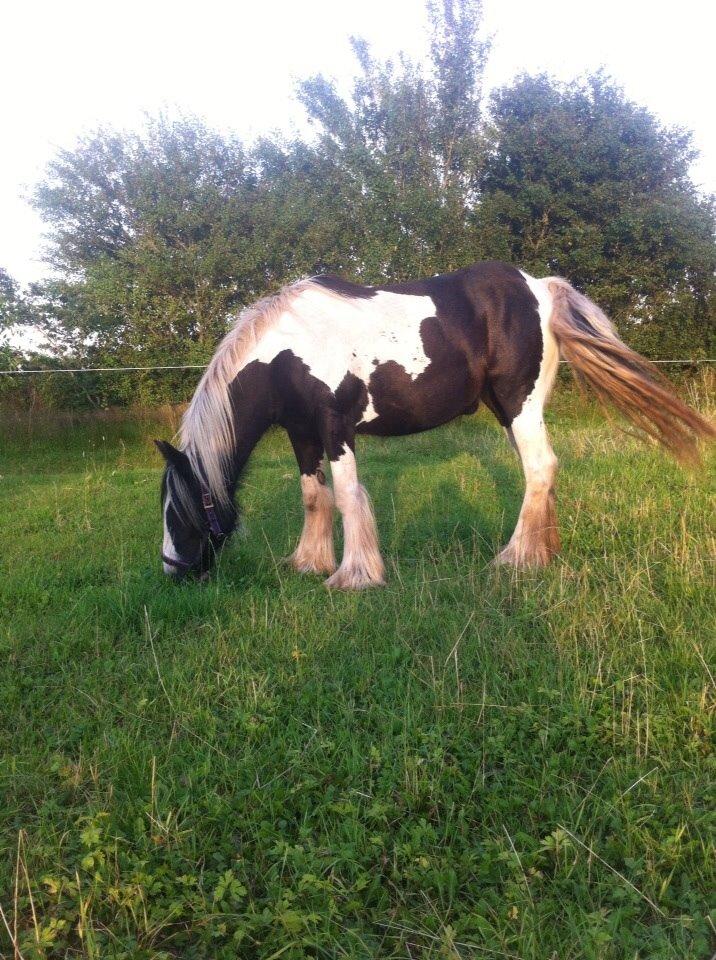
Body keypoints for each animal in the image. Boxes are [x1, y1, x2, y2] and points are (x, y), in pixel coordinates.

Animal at [155, 262, 712, 588]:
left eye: (177, 512)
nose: (173, 572)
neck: (288, 348)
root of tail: (541, 288)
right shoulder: (302, 433)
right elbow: (314, 497)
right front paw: (309, 563)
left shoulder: (336, 429)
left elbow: (347, 495)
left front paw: (355, 575)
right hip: (508, 410)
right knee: (540, 473)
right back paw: (542, 553)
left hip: (521, 403)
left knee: (540, 468)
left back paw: (515, 560)